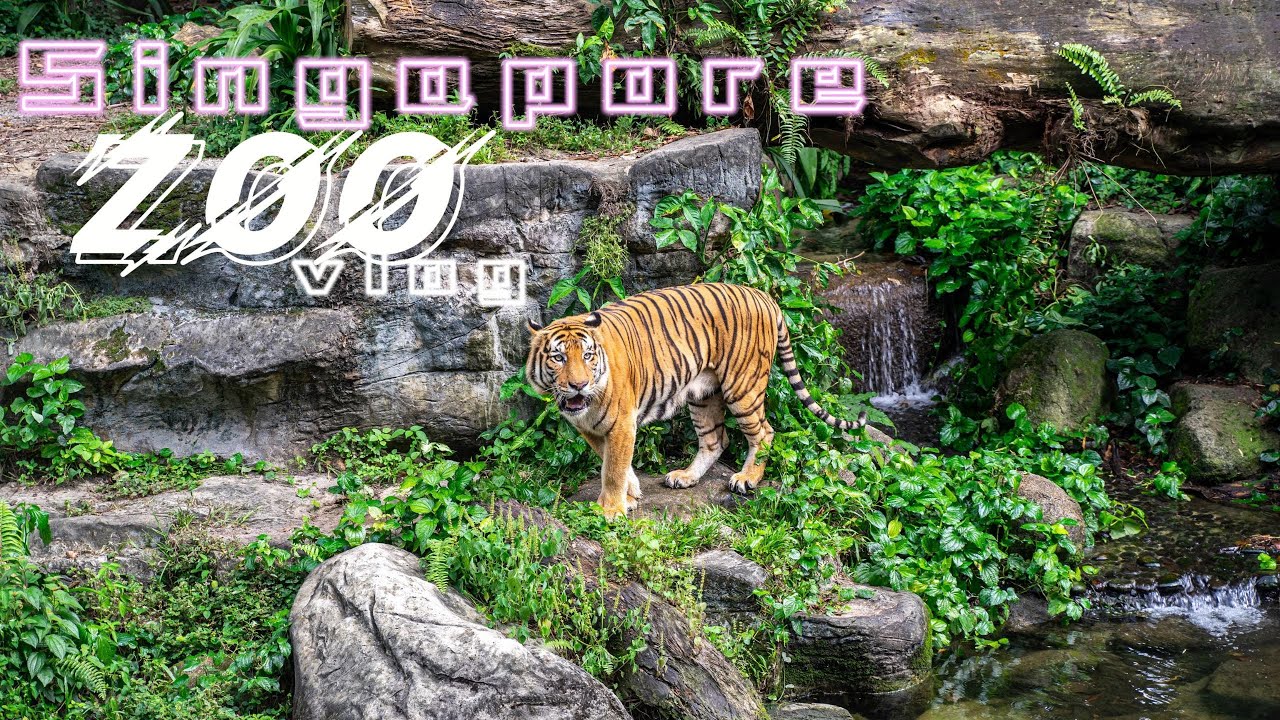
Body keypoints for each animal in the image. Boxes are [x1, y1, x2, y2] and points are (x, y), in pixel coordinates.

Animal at [525, 282, 867, 519]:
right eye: (558, 357)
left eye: (587, 356)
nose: (579, 385)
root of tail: (764, 296)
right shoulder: (591, 429)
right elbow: (612, 462)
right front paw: (631, 494)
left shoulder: (621, 423)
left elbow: (613, 468)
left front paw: (611, 509)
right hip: (703, 395)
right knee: (717, 439)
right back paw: (686, 477)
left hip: (742, 387)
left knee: (764, 432)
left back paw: (746, 479)